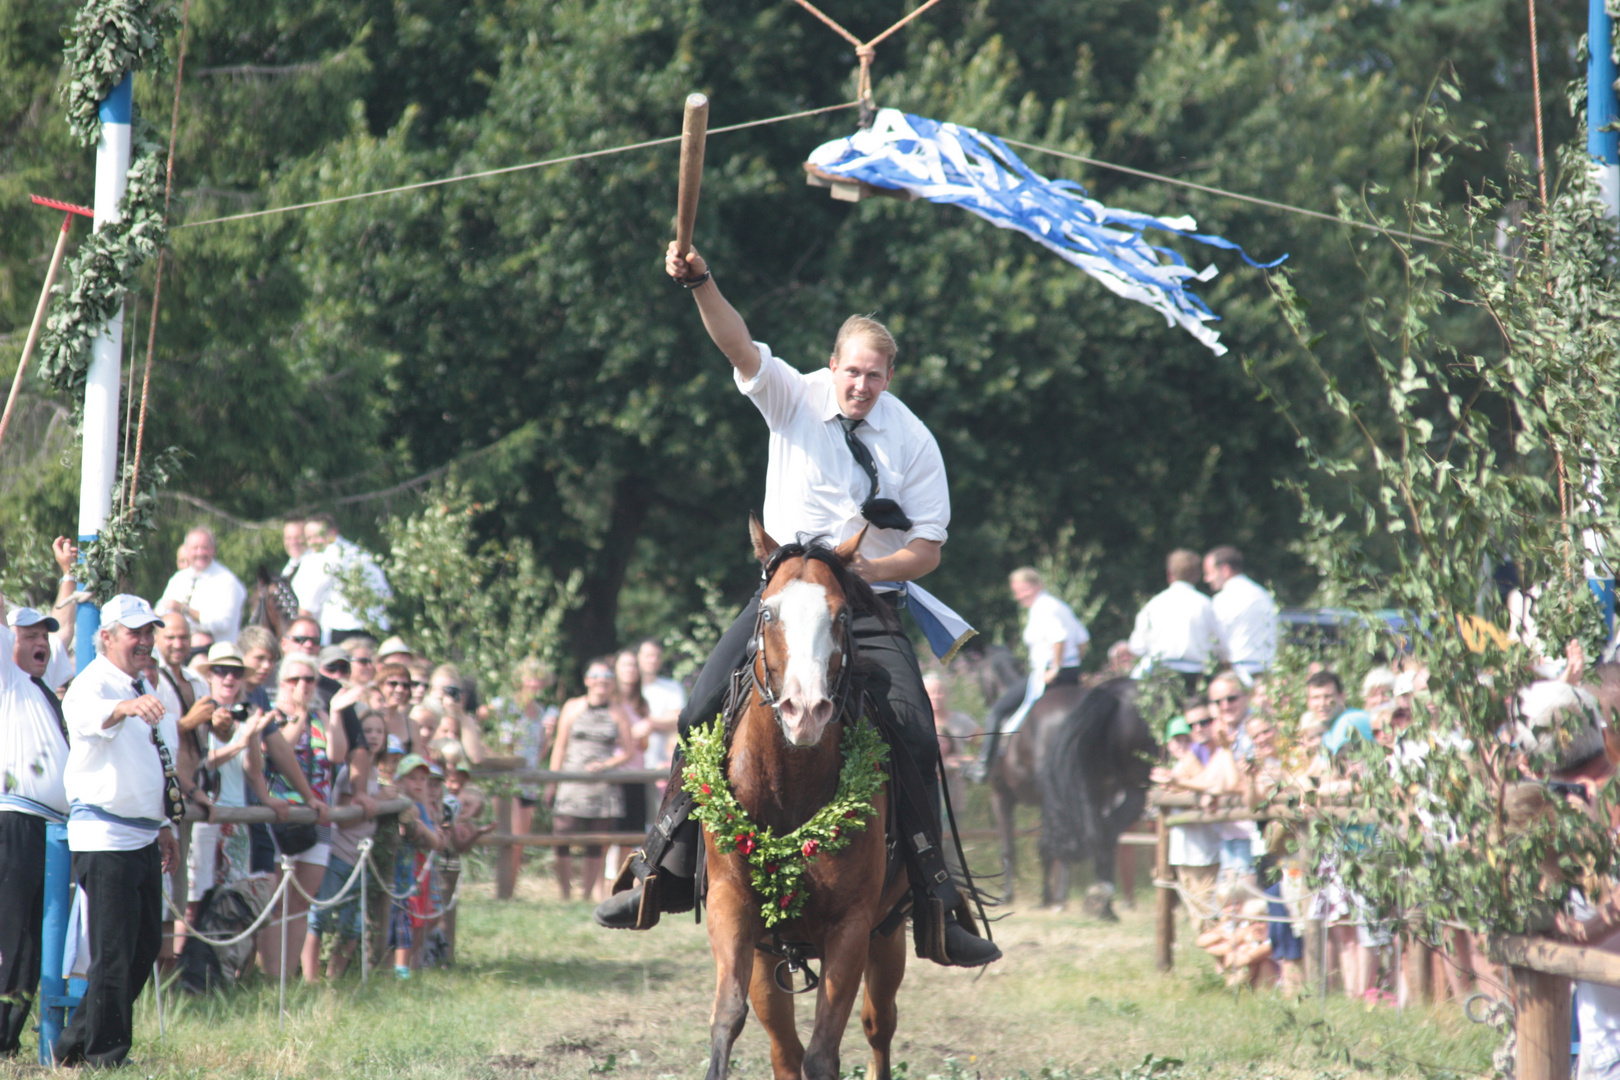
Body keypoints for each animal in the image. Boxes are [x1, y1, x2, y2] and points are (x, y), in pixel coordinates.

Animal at [703, 518, 920, 1080]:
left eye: (842, 614)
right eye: (767, 612)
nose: (805, 711)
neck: (789, 789)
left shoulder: (853, 927)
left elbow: (825, 1053)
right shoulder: (733, 905)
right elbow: (729, 1017)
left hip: (887, 937)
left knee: (877, 1025)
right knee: (785, 1049)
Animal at [959, 647, 1153, 919]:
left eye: (979, 676)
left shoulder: (1001, 795)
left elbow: (1011, 847)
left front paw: (1011, 896)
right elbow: (1045, 847)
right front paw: (1047, 897)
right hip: (1100, 788)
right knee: (1099, 831)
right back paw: (1098, 898)